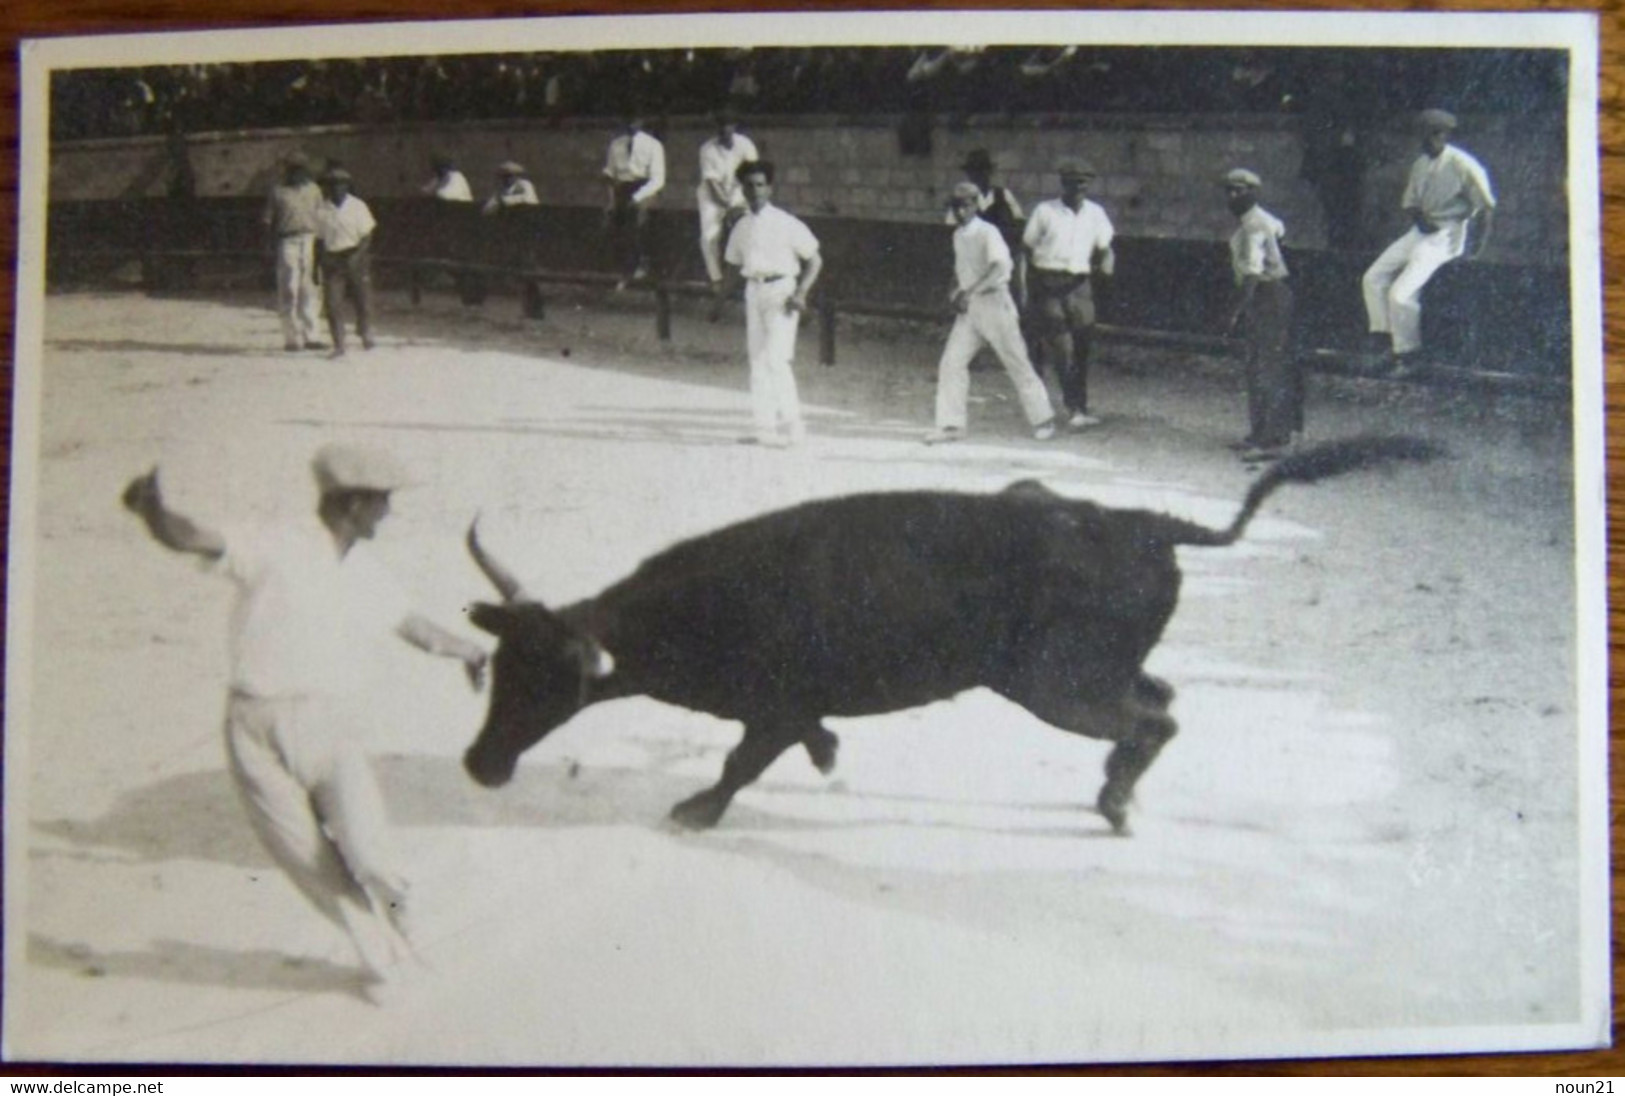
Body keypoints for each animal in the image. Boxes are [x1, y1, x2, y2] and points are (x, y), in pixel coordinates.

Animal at [458, 432, 1436, 832]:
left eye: (547, 680)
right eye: (496, 669)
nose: (478, 765)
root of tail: (1142, 523)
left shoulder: (771, 707)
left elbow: (741, 762)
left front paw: (696, 810)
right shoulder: (790, 707)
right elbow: (799, 741)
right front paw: (825, 758)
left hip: (1058, 686)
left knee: (1153, 718)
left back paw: (1116, 806)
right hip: (1094, 672)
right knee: (1159, 698)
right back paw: (1113, 795)